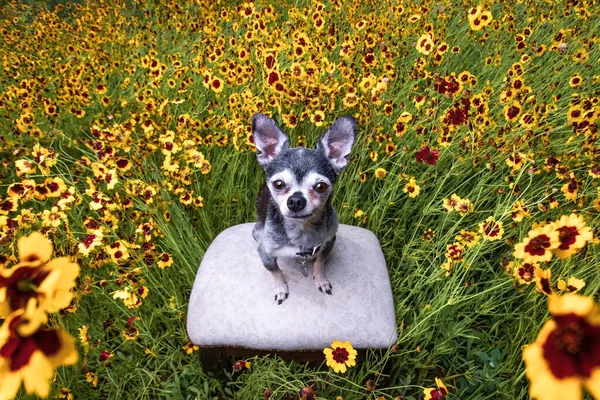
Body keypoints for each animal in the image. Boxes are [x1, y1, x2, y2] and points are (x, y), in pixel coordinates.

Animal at [250, 114, 356, 304]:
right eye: (278, 184)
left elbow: (319, 262)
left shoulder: (329, 241)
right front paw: (281, 288)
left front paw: (321, 280)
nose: (296, 200)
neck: (301, 231)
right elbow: (276, 271)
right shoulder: (265, 253)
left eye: (321, 186)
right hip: (257, 232)